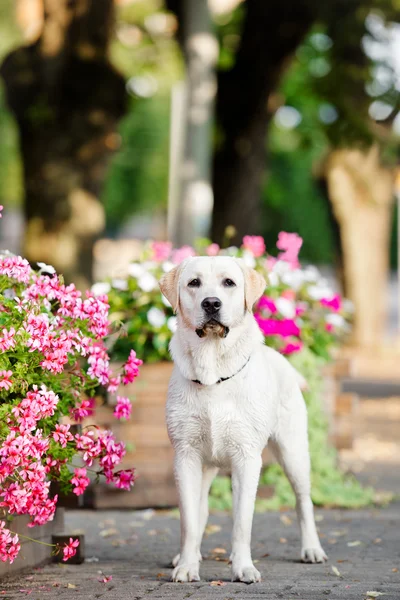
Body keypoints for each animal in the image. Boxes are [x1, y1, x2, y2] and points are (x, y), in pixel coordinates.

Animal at [158, 255, 326, 584]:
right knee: (201, 510)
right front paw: (187, 566)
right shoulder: (185, 456)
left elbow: (241, 523)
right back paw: (186, 556)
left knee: (304, 501)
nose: (212, 303)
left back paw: (312, 549)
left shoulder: (247, 459)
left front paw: (243, 568)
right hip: (206, 466)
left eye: (229, 283)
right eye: (194, 283)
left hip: (294, 453)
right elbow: (189, 521)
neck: (212, 373)